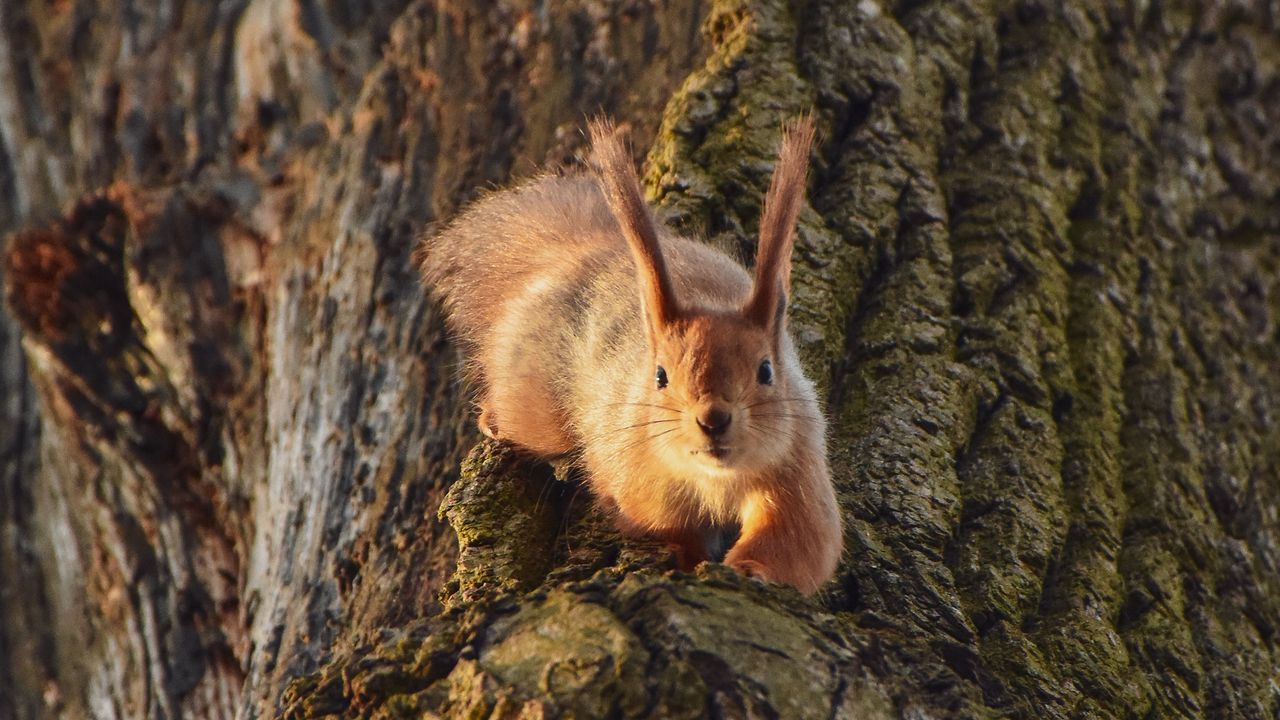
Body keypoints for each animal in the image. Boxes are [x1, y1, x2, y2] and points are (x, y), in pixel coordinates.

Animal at [417, 116, 839, 589]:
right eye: (660, 376)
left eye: (766, 371)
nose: (713, 419)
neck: (714, 479)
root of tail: (589, 252)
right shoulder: (639, 480)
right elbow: (662, 526)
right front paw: (688, 557)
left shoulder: (796, 475)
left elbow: (796, 542)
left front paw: (749, 568)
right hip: (537, 398)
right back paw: (493, 419)